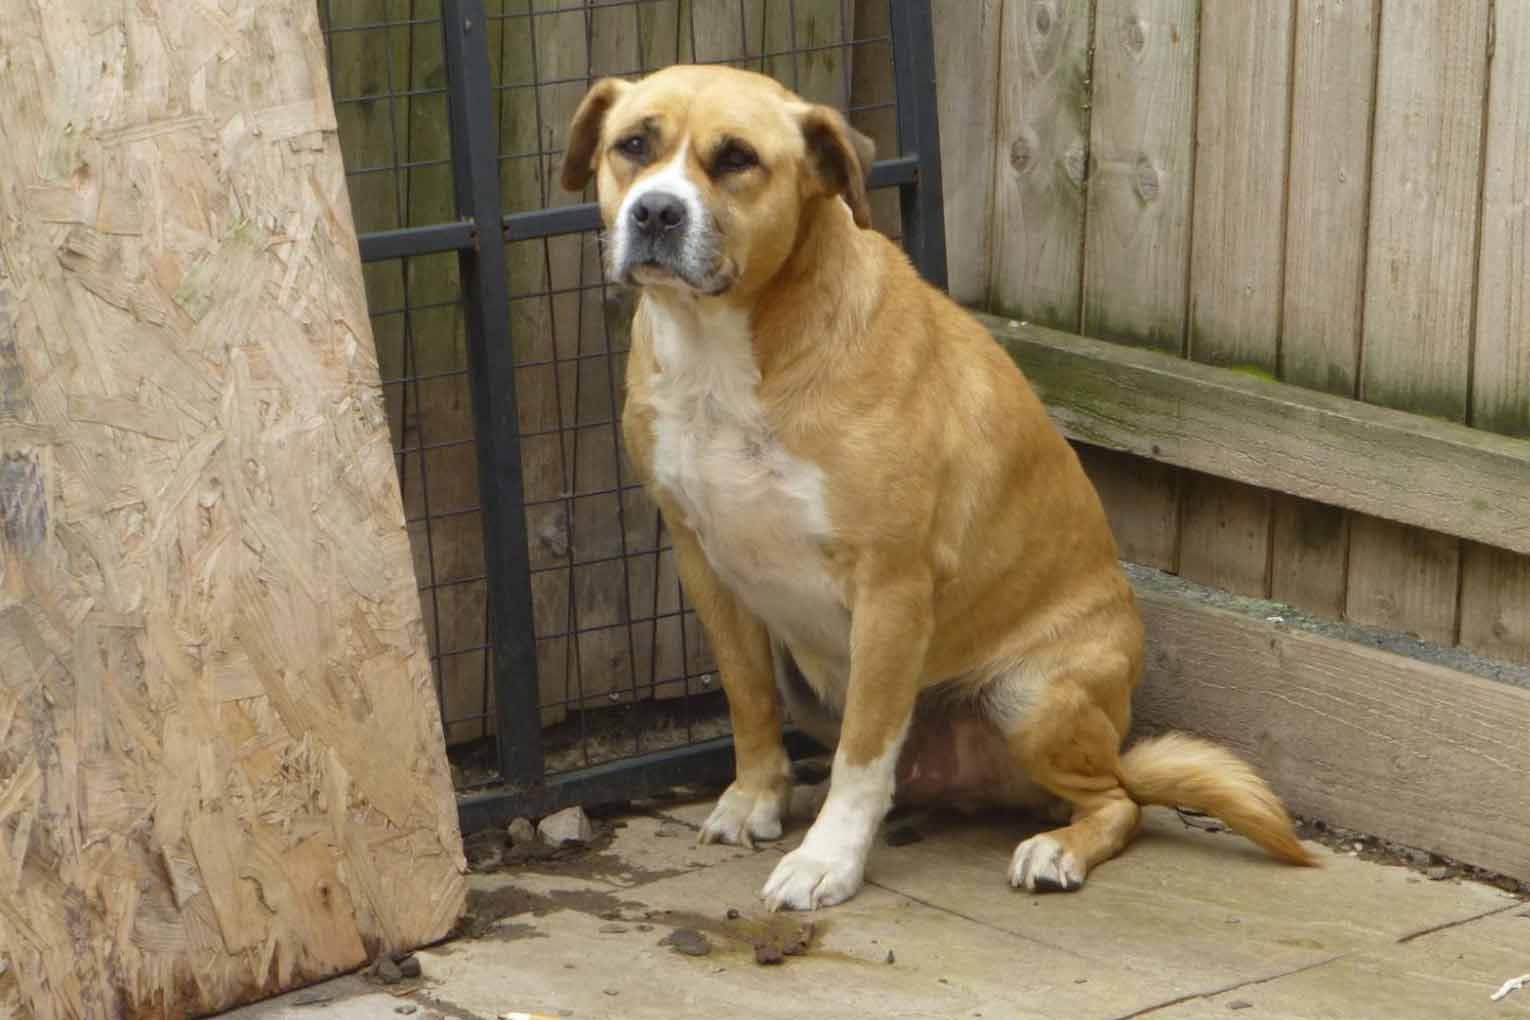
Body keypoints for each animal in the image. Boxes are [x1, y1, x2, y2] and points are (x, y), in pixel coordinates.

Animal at [563, 65, 1315, 911]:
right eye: (633, 145)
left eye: (737, 159)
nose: (656, 210)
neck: (727, 350)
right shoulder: (705, 566)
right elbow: (746, 697)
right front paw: (755, 799)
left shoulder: (890, 591)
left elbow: (863, 755)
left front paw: (827, 861)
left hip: (1031, 696)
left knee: (1121, 803)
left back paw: (1057, 849)